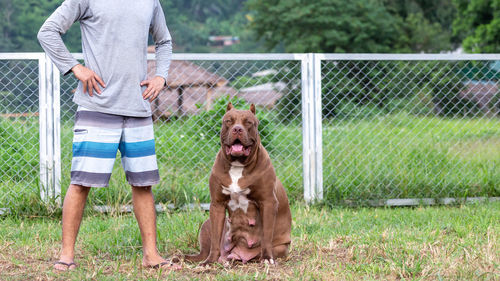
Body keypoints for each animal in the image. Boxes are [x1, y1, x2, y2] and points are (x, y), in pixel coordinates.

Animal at [200, 101, 292, 264]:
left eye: (248, 122)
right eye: (228, 121)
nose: (237, 129)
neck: (238, 165)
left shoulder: (268, 202)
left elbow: (267, 235)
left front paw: (267, 258)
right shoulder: (217, 204)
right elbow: (215, 238)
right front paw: (210, 261)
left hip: (281, 247)